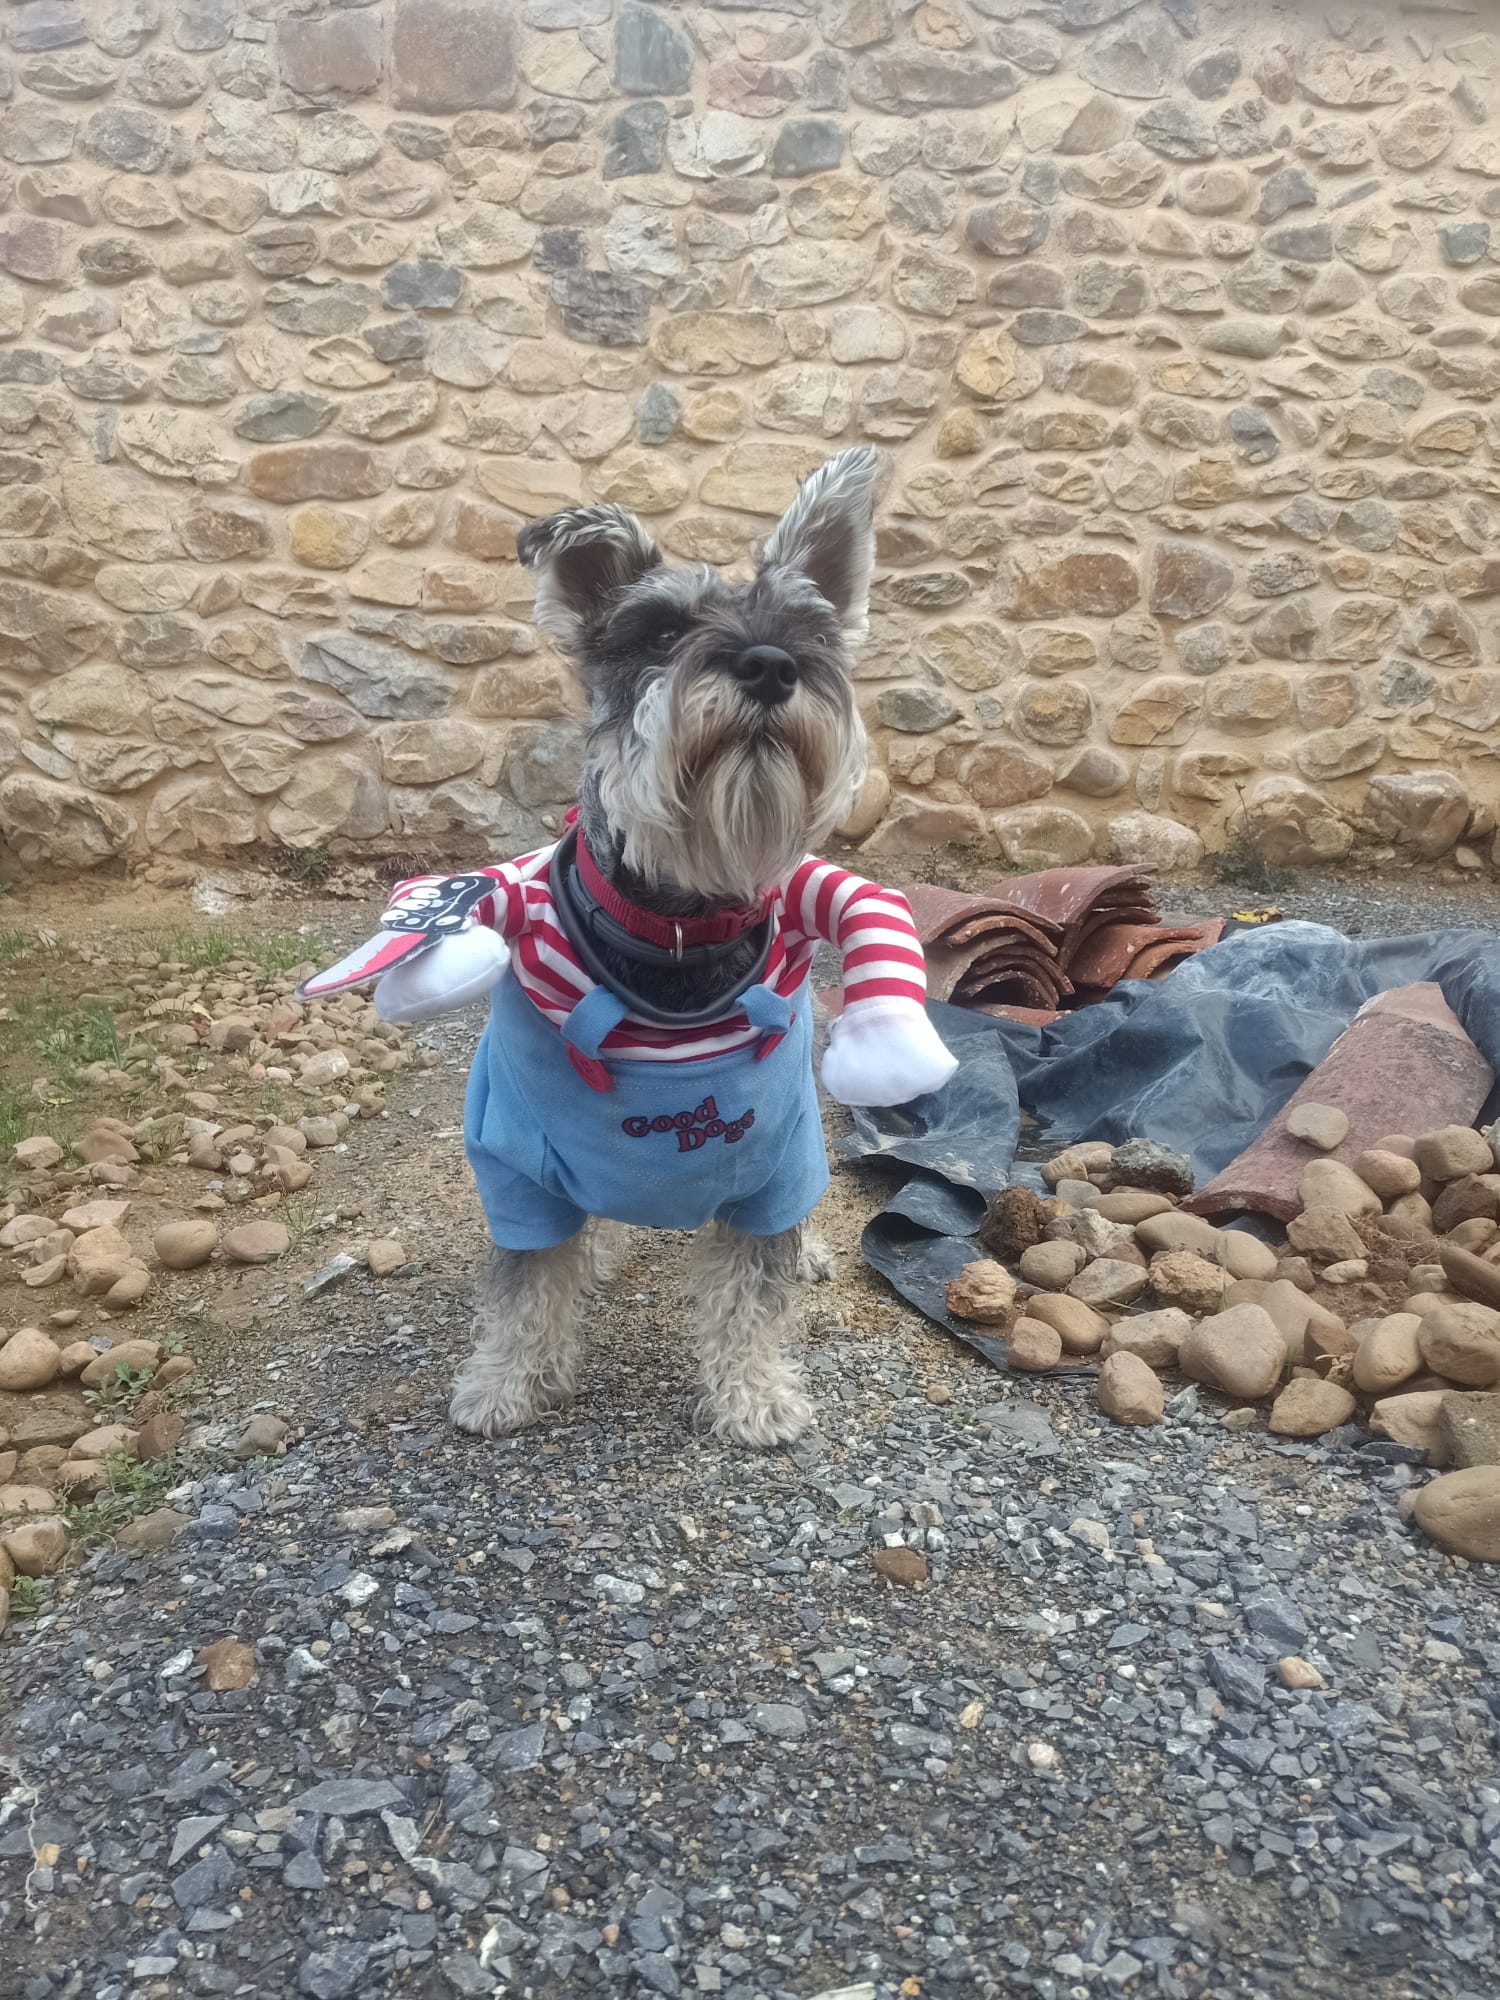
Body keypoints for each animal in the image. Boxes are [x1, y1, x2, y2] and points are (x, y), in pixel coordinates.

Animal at [304, 452, 956, 1448]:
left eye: (809, 628)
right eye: (660, 630)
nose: (771, 664)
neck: (679, 928)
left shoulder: (771, 1168)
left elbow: (751, 1289)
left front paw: (754, 1393)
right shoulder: (517, 1169)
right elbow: (526, 1284)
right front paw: (505, 1381)